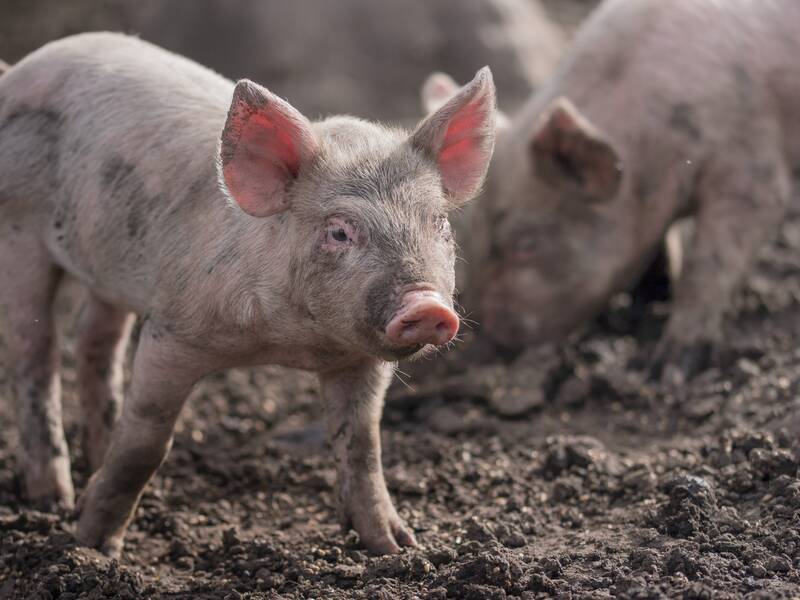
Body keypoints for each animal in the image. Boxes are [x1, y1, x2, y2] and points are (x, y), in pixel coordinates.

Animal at [0, 32, 496, 556]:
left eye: (439, 223)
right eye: (340, 231)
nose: (427, 305)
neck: (289, 344)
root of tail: (17, 71)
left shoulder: (360, 360)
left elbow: (362, 446)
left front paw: (397, 548)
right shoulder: (172, 330)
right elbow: (146, 441)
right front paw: (93, 547)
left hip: (107, 264)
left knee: (95, 341)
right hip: (18, 227)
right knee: (35, 352)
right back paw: (51, 499)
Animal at [422, 0, 800, 380]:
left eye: (526, 244)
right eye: (473, 236)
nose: (477, 350)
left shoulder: (748, 163)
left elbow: (711, 260)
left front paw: (666, 369)